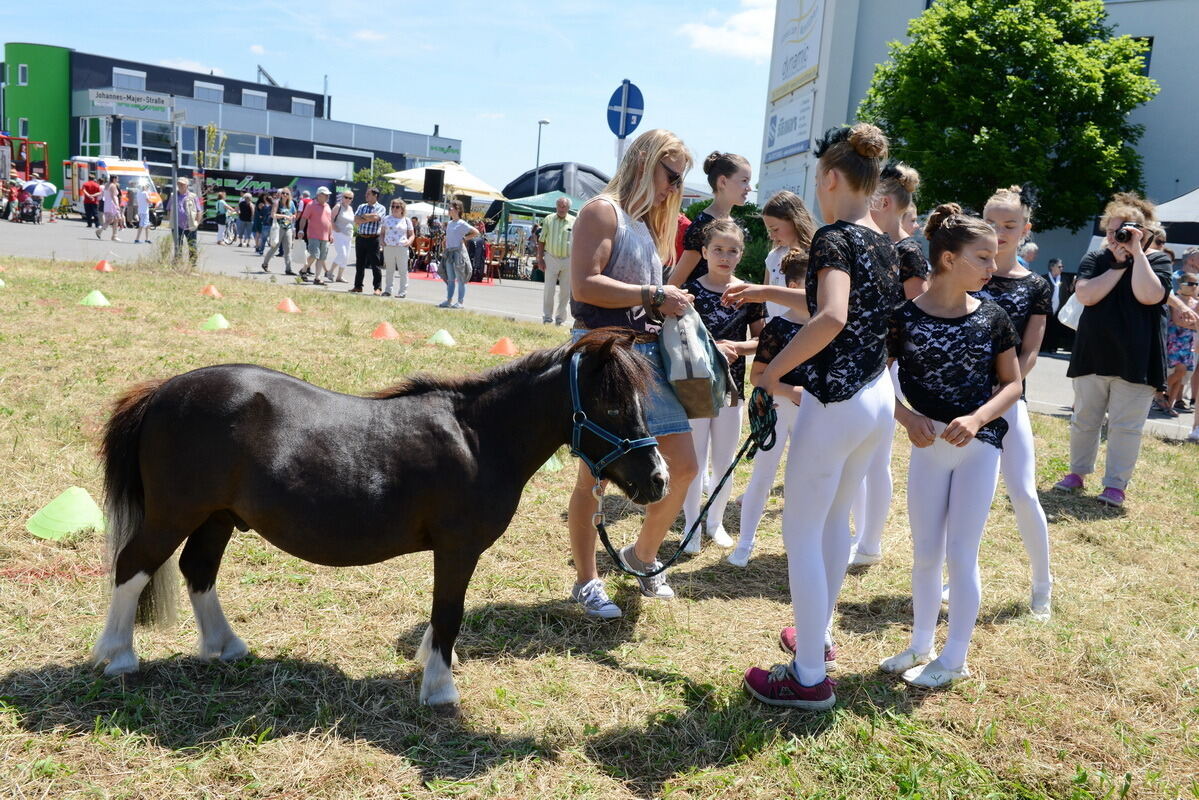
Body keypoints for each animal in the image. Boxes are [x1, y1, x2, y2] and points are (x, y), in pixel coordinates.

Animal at [92, 328, 666, 705]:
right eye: (614, 408)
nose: (658, 480)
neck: (479, 439)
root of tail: (163, 390)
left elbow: (442, 615)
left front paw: (432, 662)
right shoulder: (457, 548)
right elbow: (449, 612)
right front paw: (439, 687)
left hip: (217, 517)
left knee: (198, 571)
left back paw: (225, 647)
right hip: (175, 513)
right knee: (133, 566)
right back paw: (117, 657)